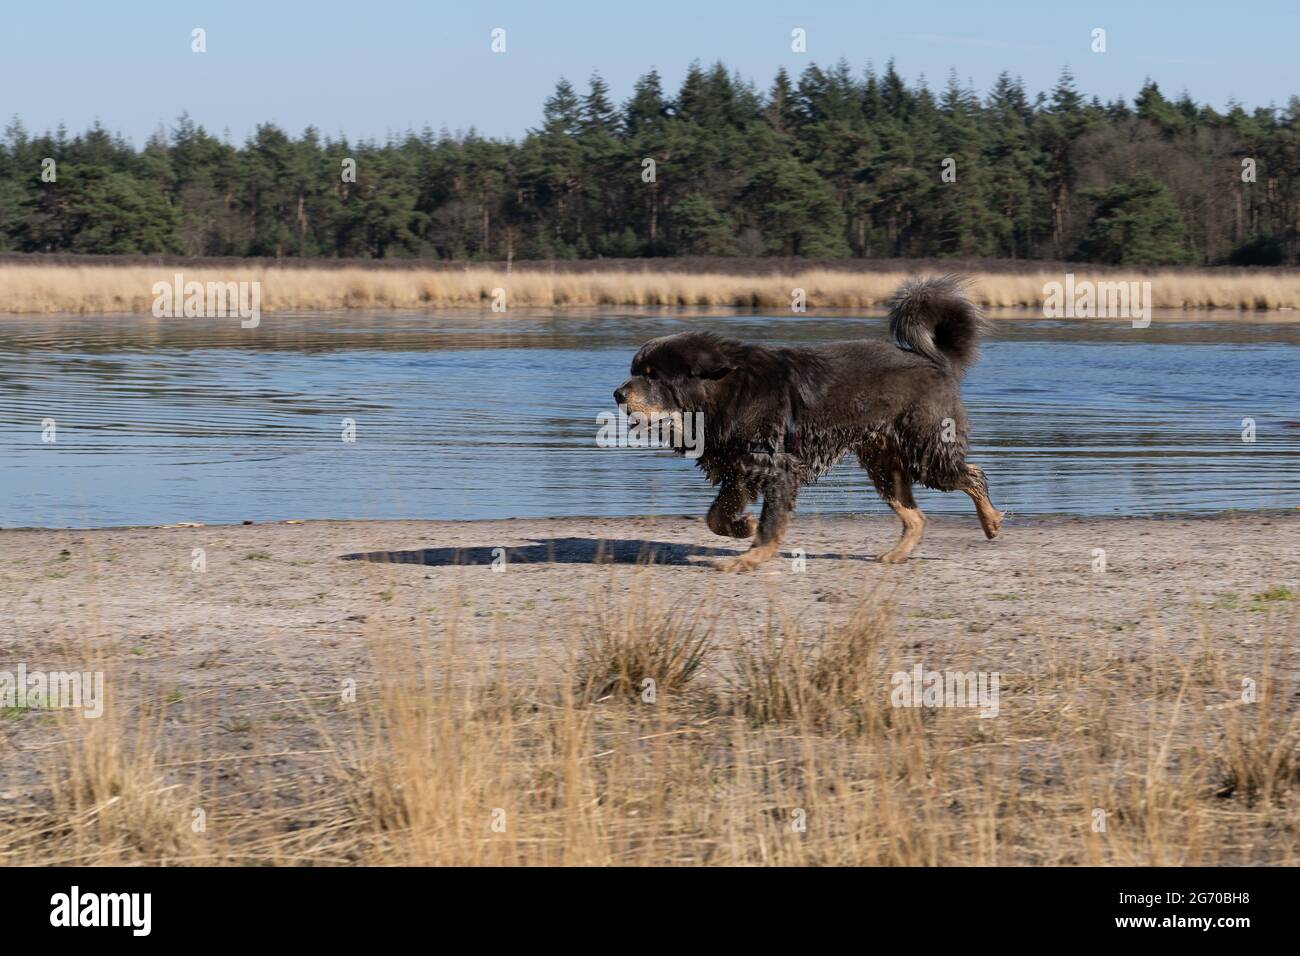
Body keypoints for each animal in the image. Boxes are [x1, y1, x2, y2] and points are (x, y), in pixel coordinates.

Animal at [611, 280, 1003, 572]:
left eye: (653, 376)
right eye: (635, 371)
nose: (617, 393)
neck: (725, 392)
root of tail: (937, 362)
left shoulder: (776, 468)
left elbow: (769, 525)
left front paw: (751, 556)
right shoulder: (737, 470)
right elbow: (715, 517)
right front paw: (742, 527)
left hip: (926, 452)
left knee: (974, 476)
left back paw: (991, 521)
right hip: (883, 465)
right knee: (916, 515)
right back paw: (896, 554)